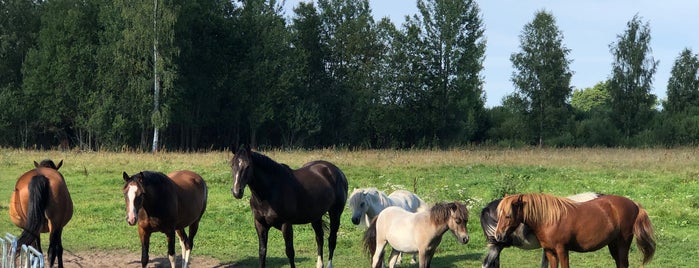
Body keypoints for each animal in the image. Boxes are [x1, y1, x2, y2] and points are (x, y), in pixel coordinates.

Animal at [492, 194, 656, 268]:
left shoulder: (562, 250)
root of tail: (634, 204)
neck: (549, 219)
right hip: (613, 244)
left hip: (623, 243)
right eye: (499, 215)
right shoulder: (550, 252)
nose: (498, 235)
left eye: (508, 215)